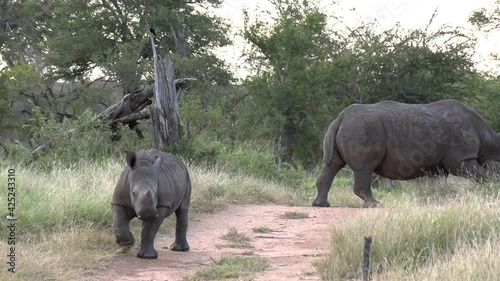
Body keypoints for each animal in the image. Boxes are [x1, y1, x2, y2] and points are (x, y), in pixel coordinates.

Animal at [312, 98, 500, 206]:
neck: (490, 141)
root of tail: (341, 117)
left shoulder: (438, 165)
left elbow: (438, 182)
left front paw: (437, 197)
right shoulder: (461, 158)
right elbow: (482, 173)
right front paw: (493, 188)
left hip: (346, 127)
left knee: (332, 165)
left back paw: (321, 205)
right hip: (362, 128)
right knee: (364, 169)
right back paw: (376, 205)